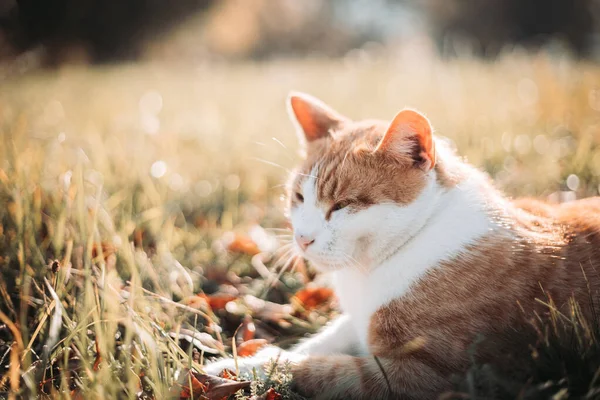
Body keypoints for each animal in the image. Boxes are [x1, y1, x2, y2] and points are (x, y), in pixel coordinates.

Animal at [205, 91, 600, 400]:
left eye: (343, 205)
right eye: (299, 198)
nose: (303, 238)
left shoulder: (430, 376)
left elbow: (312, 368)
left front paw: (238, 373)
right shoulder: (359, 323)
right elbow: (311, 345)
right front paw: (230, 366)